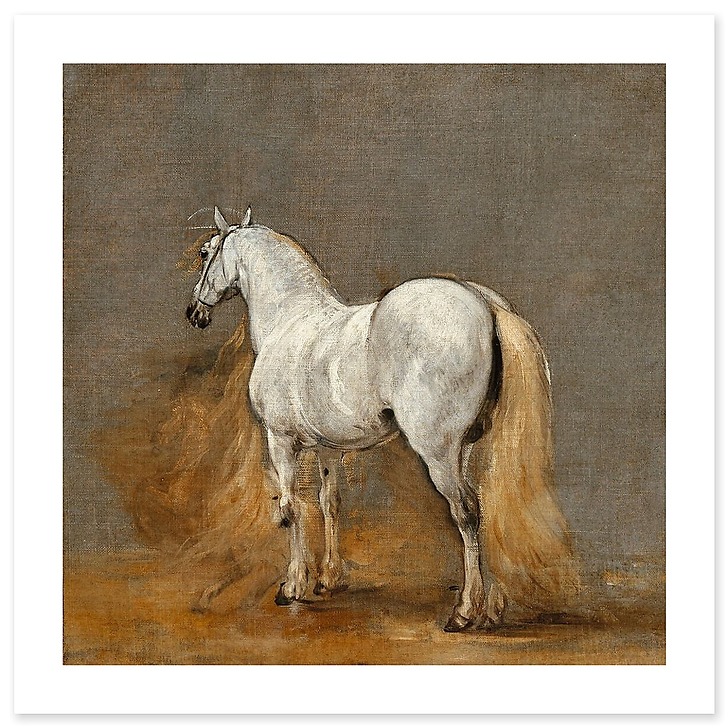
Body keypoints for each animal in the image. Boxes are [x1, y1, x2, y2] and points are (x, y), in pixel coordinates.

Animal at [185, 206, 578, 632]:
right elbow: (330, 503)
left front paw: (293, 586)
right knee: (481, 509)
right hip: (464, 449)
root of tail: (485, 305)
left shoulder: (281, 440)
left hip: (438, 453)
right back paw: (488, 608)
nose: (194, 313)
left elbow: (291, 509)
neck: (291, 321)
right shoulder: (328, 449)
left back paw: (464, 612)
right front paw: (328, 579)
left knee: (467, 512)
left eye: (206, 252)